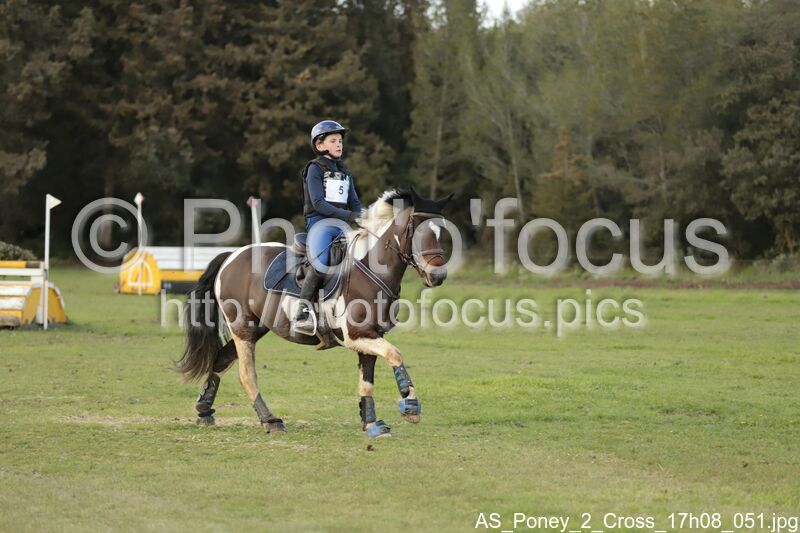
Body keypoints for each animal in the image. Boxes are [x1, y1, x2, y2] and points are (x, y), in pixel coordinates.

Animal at [175, 188, 452, 437]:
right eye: (417, 231)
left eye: (441, 233)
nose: (438, 276)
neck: (370, 270)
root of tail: (231, 256)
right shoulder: (357, 335)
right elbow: (396, 354)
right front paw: (411, 405)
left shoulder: (370, 336)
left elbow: (367, 383)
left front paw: (372, 424)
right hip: (242, 327)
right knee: (246, 374)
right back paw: (270, 420)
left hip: (255, 328)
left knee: (221, 360)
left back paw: (204, 410)